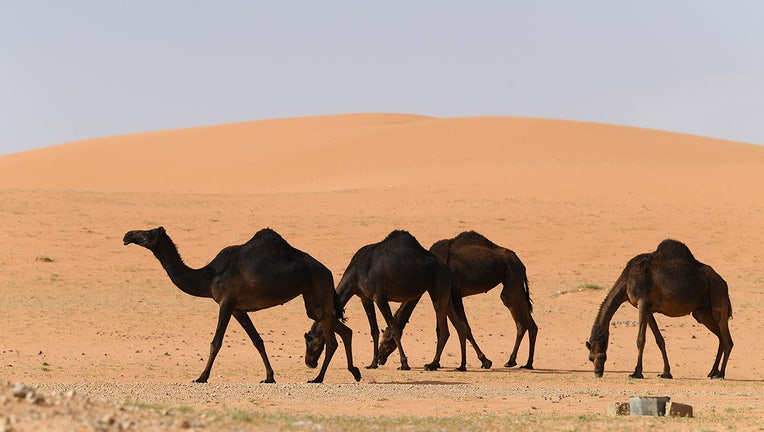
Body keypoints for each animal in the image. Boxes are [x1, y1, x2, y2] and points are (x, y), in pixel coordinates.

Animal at [124, 228, 362, 384]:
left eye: (147, 233)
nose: (127, 236)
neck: (208, 276)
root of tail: (328, 271)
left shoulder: (226, 302)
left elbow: (216, 342)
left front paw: (201, 377)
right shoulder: (238, 309)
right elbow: (258, 341)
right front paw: (269, 377)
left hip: (318, 291)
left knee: (332, 340)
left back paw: (318, 378)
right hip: (313, 300)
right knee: (344, 330)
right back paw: (355, 372)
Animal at [302, 230, 472, 372]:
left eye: (309, 343)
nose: (309, 362)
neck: (357, 274)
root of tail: (447, 269)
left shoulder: (380, 297)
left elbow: (394, 329)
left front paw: (404, 364)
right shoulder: (365, 298)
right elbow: (374, 331)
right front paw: (372, 363)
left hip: (438, 287)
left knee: (444, 330)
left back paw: (432, 364)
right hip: (445, 294)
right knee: (459, 327)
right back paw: (461, 366)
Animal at [376, 231, 536, 370]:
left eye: (386, 341)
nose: (379, 358)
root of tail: (521, 263)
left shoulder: (454, 293)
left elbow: (464, 328)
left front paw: (484, 360)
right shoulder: (448, 295)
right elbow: (449, 329)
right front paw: (438, 363)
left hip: (511, 282)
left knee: (517, 316)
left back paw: (513, 361)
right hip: (517, 285)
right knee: (530, 324)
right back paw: (526, 363)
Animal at [584, 240, 736, 378]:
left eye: (595, 357)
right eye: (590, 358)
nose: (597, 373)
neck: (627, 280)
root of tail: (723, 282)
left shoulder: (643, 303)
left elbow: (640, 339)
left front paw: (636, 373)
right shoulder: (648, 309)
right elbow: (659, 340)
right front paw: (666, 372)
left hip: (718, 295)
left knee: (727, 339)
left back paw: (720, 374)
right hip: (701, 312)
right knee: (720, 337)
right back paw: (712, 371)